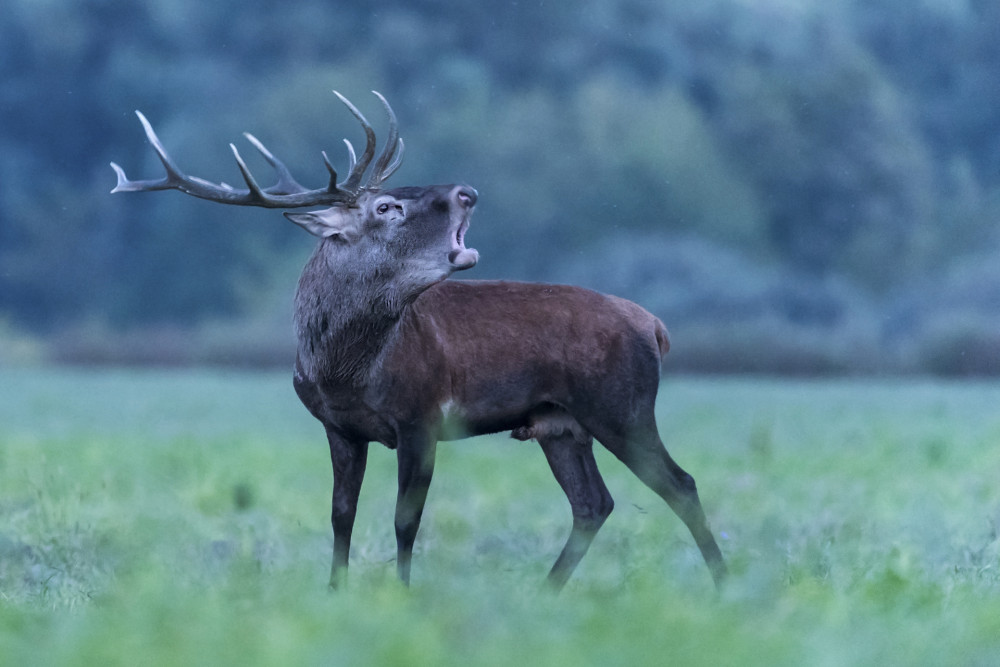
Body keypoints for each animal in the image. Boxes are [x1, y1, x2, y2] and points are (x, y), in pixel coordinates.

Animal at [111, 91, 728, 592]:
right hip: (560, 423)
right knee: (593, 503)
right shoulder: (339, 427)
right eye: (387, 206)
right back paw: (545, 592)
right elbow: (341, 514)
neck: (346, 370)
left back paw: (722, 586)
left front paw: (402, 596)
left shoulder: (422, 416)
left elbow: (406, 519)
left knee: (680, 484)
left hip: (620, 404)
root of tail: (654, 325)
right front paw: (334, 591)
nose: (468, 191)